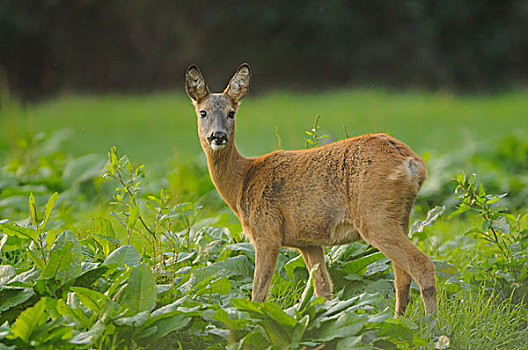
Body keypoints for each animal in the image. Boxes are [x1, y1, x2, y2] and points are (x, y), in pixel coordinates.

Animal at [186, 63, 438, 318]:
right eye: (203, 112)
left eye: (231, 113)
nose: (218, 136)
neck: (243, 180)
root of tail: (412, 163)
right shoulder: (308, 242)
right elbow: (324, 291)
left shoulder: (266, 233)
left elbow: (258, 294)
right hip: (401, 217)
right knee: (402, 277)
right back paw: (397, 321)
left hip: (374, 216)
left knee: (422, 265)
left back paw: (432, 326)